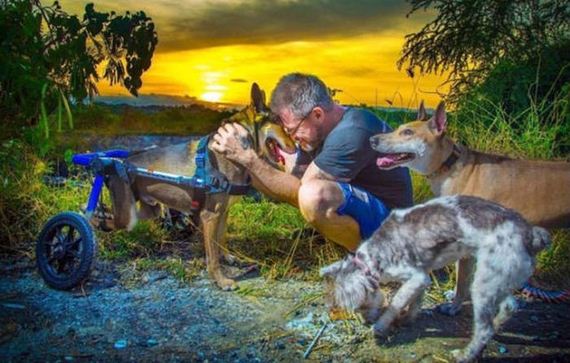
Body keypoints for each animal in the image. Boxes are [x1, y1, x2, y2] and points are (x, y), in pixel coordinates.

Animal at [105, 84, 298, 292]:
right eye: (278, 122)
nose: (296, 147)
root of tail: (118, 163)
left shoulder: (223, 212)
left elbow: (221, 240)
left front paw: (228, 258)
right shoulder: (210, 216)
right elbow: (212, 256)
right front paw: (221, 280)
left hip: (147, 210)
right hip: (125, 215)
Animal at [320, 198, 544, 362]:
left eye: (361, 306)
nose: (366, 321)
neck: (372, 259)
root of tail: (530, 234)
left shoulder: (416, 277)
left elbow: (396, 302)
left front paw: (381, 326)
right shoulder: (423, 277)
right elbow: (415, 301)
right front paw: (408, 318)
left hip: (484, 284)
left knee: (484, 328)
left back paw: (465, 354)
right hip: (498, 277)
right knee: (509, 306)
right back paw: (495, 328)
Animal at [366, 102, 564, 316]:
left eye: (408, 132)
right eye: (399, 128)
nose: (372, 140)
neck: (448, 165)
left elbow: (462, 279)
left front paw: (454, 306)